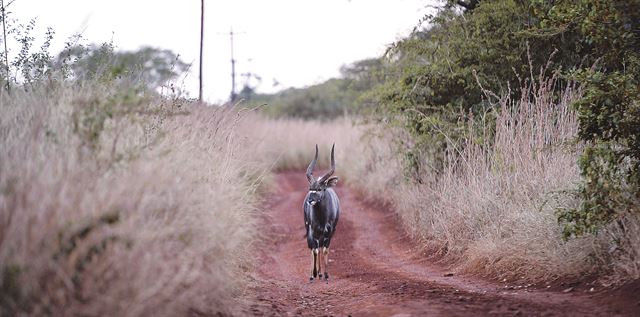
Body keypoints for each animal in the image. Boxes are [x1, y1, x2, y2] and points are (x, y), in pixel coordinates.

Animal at [304, 144, 340, 280]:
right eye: (310, 188)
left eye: (320, 189)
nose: (310, 200)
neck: (322, 218)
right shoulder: (313, 230)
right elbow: (315, 250)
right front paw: (313, 274)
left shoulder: (330, 231)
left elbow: (325, 249)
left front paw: (326, 274)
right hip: (309, 229)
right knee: (314, 247)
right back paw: (314, 274)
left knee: (320, 247)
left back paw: (320, 273)